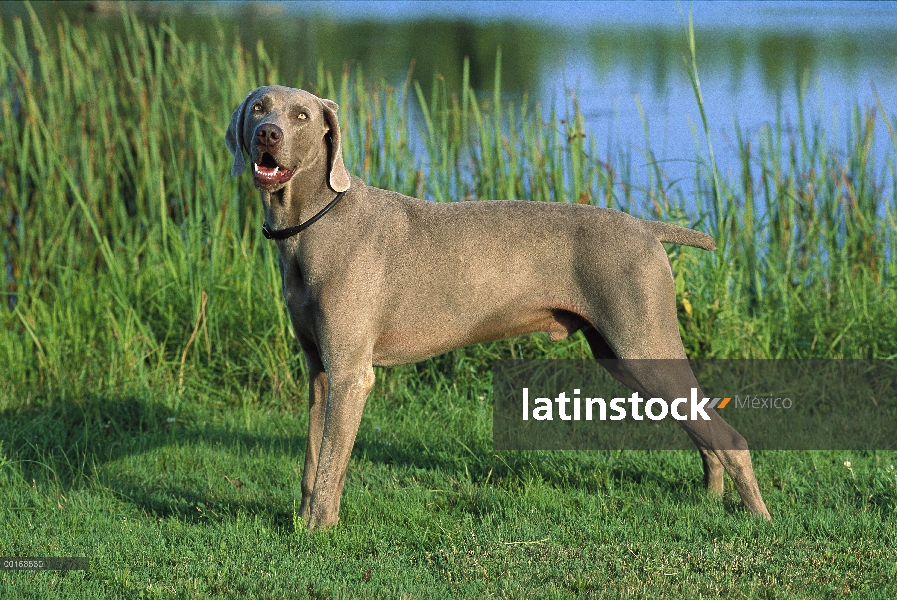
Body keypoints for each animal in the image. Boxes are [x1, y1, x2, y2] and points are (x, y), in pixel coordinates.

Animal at [226, 85, 768, 528]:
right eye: (259, 107)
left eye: (301, 116)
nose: (269, 133)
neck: (313, 224)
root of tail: (646, 228)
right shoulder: (320, 369)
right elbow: (312, 459)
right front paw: (301, 524)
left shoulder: (351, 372)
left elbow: (331, 463)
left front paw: (318, 531)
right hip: (621, 354)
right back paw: (711, 498)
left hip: (641, 341)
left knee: (731, 437)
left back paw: (758, 517)